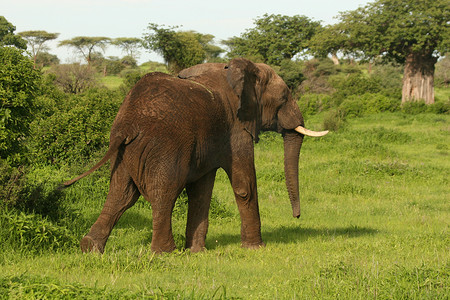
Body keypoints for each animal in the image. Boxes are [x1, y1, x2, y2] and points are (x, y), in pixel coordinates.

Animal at [62, 58, 326, 253]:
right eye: (284, 98)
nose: (297, 216)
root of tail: (127, 124)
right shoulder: (236, 128)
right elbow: (244, 185)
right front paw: (255, 248)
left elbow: (201, 191)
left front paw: (197, 251)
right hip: (164, 146)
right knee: (164, 192)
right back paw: (164, 252)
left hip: (126, 152)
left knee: (121, 194)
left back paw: (90, 248)